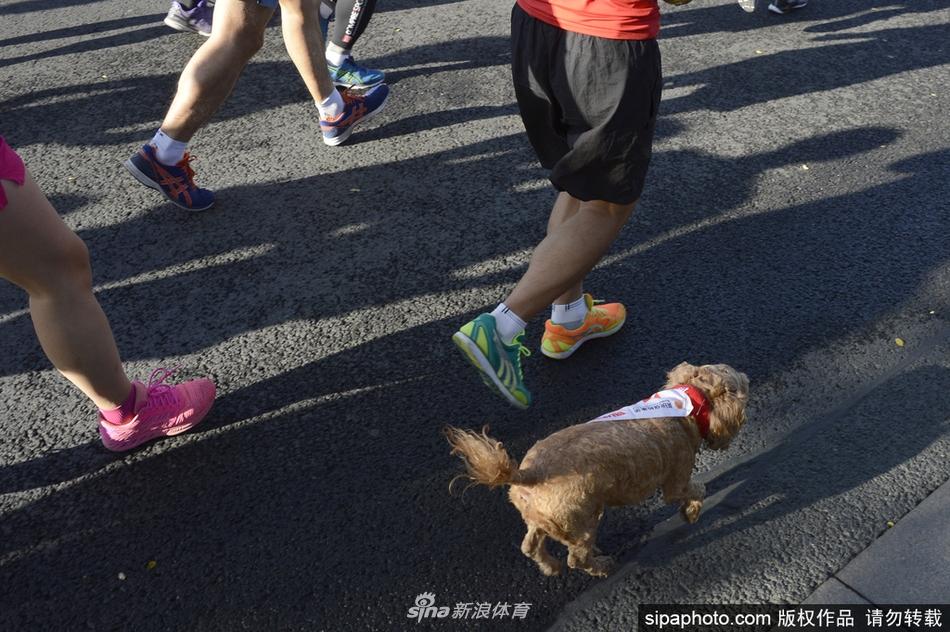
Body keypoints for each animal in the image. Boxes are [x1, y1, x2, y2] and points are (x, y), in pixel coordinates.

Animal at [446, 360, 752, 576]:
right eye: (742, 385)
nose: (747, 376)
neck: (685, 402)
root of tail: (529, 474)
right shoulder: (676, 477)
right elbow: (695, 489)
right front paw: (691, 512)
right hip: (581, 519)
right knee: (576, 558)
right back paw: (601, 565)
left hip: (542, 516)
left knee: (530, 545)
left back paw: (550, 566)